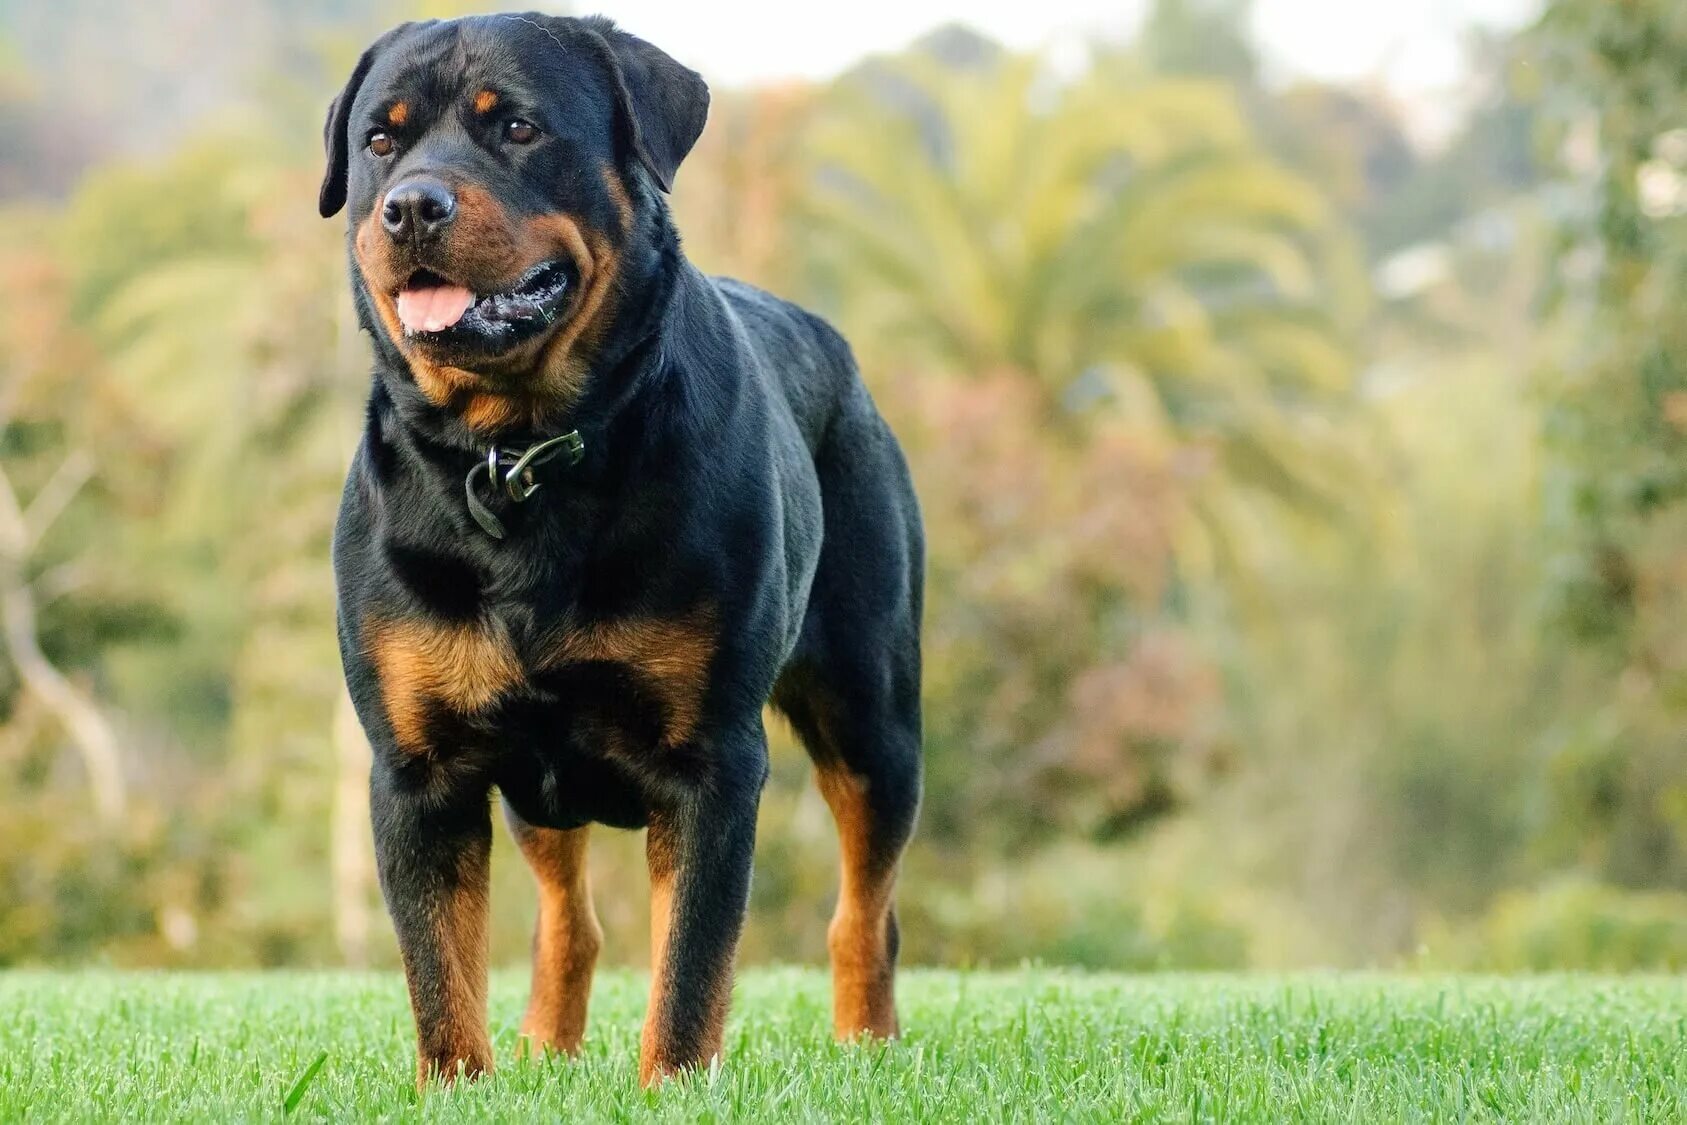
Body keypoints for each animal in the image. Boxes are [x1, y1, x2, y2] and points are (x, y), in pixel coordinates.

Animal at [317, 13, 924, 1092]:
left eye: (517, 127)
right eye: (381, 140)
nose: (411, 207)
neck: (518, 453)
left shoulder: (711, 760)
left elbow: (689, 967)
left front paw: (673, 1088)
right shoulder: (418, 768)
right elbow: (440, 974)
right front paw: (460, 1087)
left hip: (873, 715)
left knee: (865, 911)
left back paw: (865, 1047)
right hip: (533, 780)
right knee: (569, 923)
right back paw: (545, 1044)